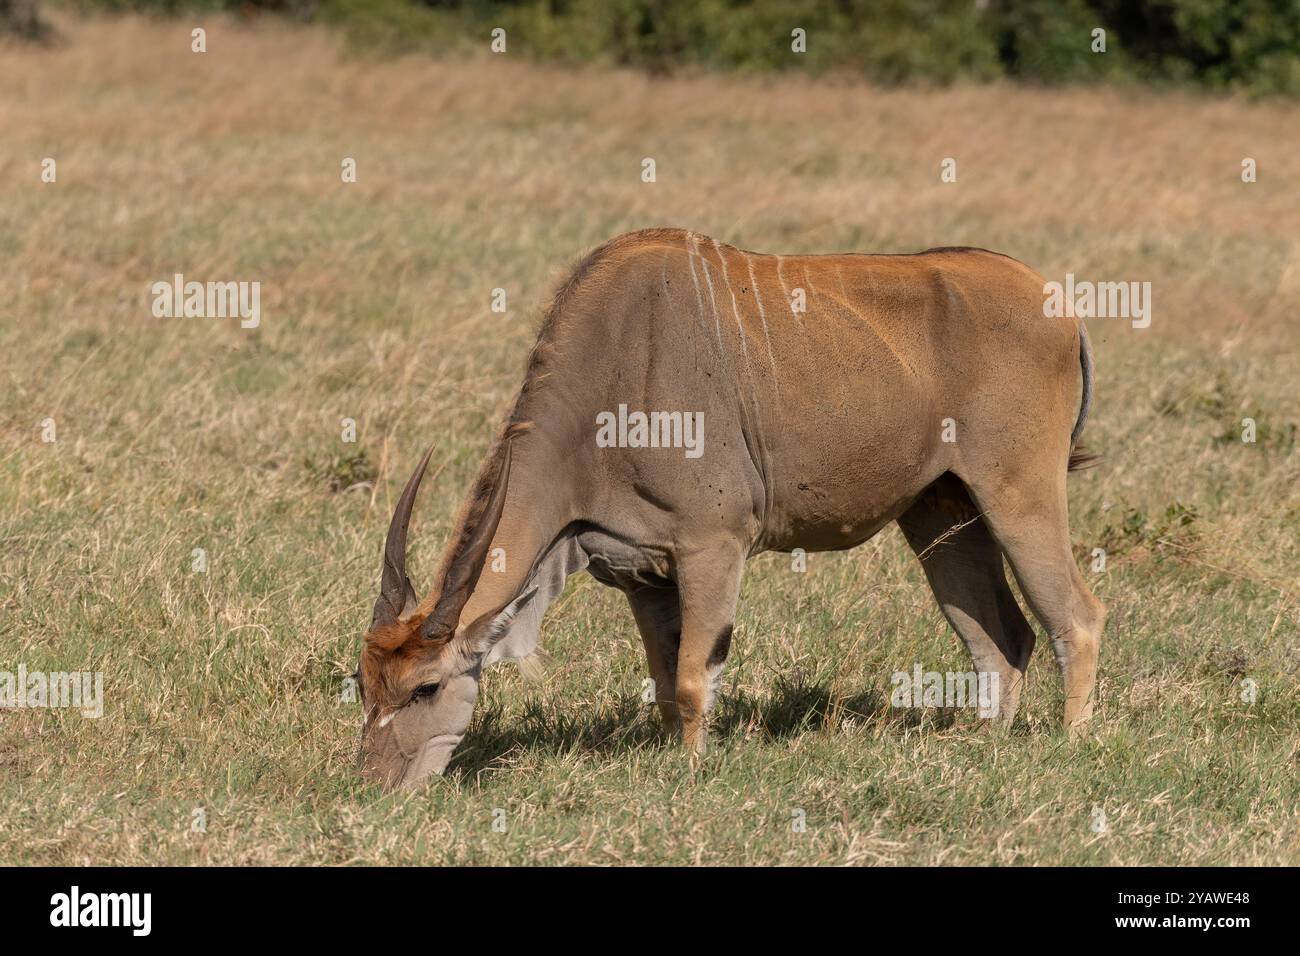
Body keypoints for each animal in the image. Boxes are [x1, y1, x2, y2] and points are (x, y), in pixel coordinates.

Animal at [358, 227, 1107, 790]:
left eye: (425, 688)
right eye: (362, 684)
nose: (376, 784)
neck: (615, 369)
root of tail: (1054, 302)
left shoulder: (712, 547)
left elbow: (694, 679)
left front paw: (691, 777)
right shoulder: (641, 575)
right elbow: (666, 683)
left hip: (1019, 493)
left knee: (1076, 615)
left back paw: (1071, 747)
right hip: (940, 514)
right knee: (1001, 639)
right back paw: (987, 748)